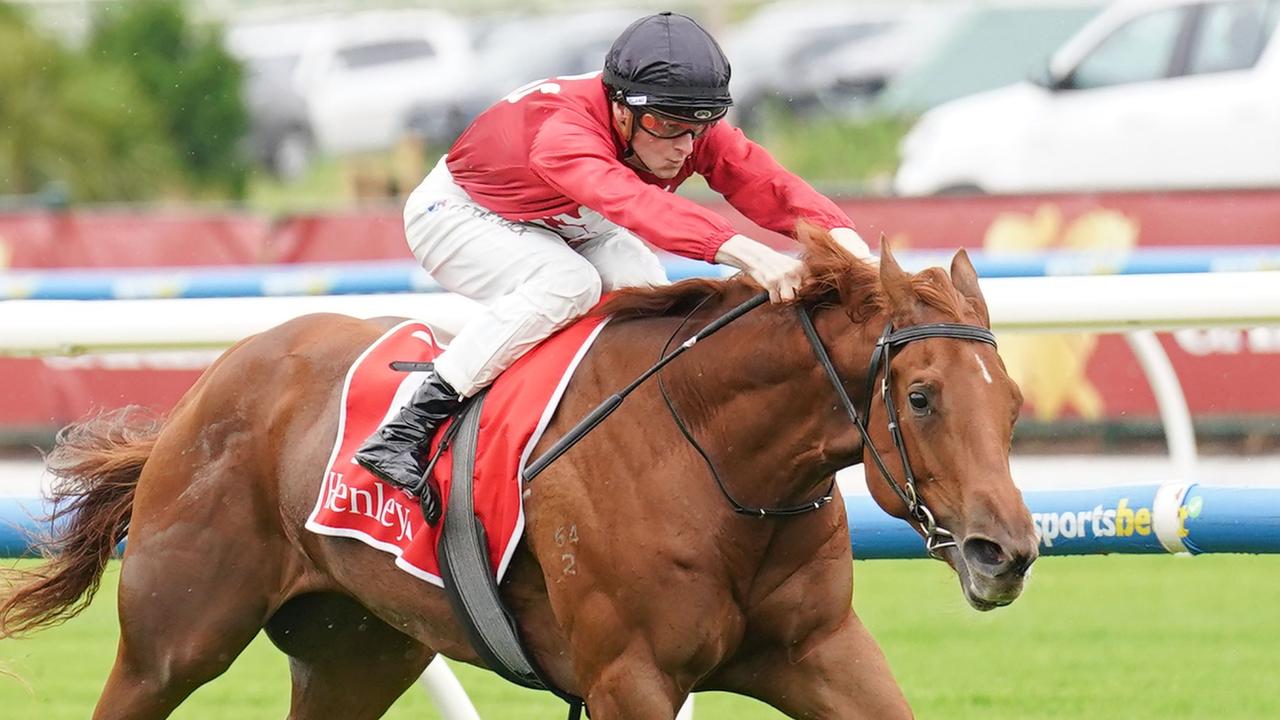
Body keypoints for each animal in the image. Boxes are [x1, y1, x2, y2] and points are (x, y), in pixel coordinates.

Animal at [0, 233, 1034, 712]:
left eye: (1015, 403)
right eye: (923, 396)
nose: (1009, 551)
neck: (716, 460)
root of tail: (207, 387)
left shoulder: (820, 651)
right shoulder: (631, 678)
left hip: (354, 651)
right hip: (173, 641)